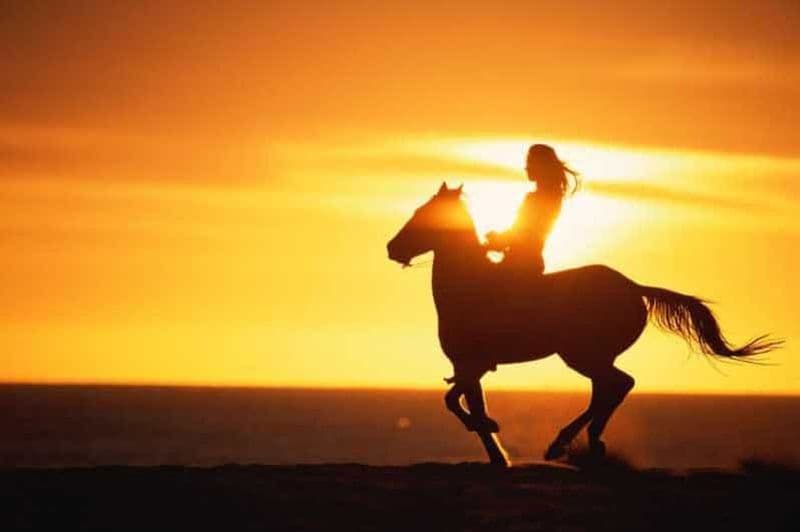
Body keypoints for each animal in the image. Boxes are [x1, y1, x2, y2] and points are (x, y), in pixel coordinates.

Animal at [386, 182, 780, 467]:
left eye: (424, 214)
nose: (392, 249)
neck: (468, 288)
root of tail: (634, 287)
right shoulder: (469, 367)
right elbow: (459, 401)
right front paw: (495, 446)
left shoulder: (470, 364)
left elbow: (455, 402)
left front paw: (493, 438)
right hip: (591, 356)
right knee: (609, 388)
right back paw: (588, 442)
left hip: (581, 354)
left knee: (618, 384)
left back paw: (564, 443)